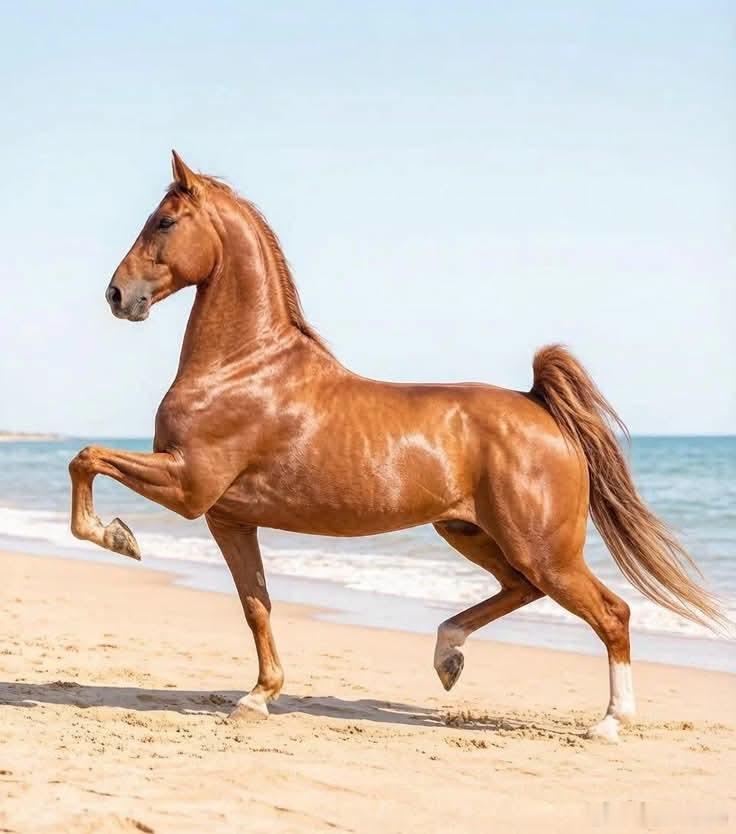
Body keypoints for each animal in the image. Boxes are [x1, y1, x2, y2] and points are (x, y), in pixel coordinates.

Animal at [69, 151, 722, 741]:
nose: (117, 295)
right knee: (521, 590)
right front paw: (258, 697)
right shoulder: (227, 517)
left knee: (611, 613)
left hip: (543, 550)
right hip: (471, 533)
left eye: (164, 222)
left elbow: (87, 458)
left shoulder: (188, 487)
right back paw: (448, 657)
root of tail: (538, 406)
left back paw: (610, 722)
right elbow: (257, 605)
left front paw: (118, 536)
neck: (244, 368)